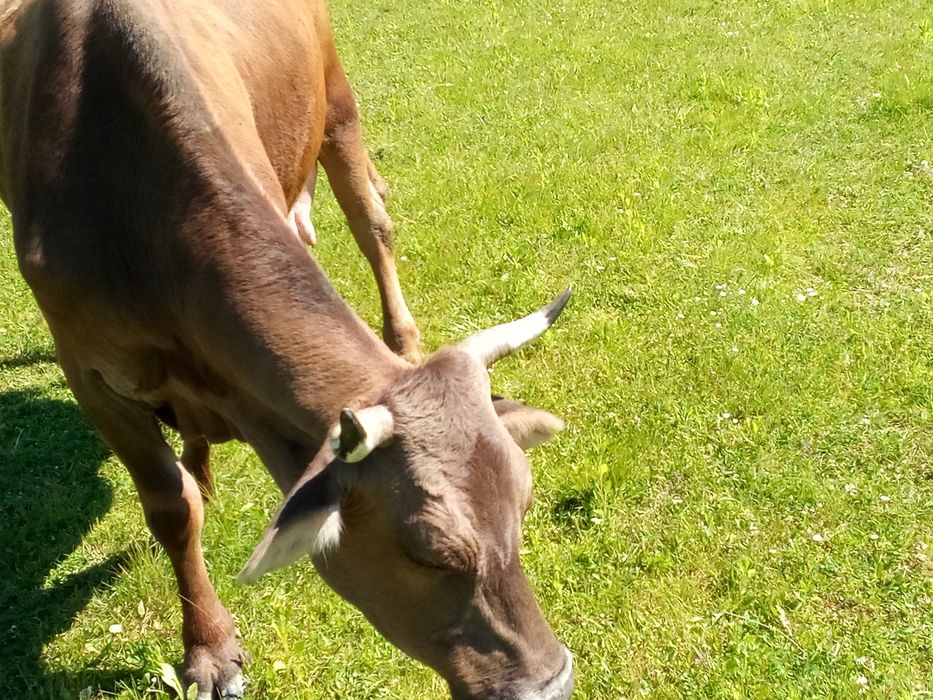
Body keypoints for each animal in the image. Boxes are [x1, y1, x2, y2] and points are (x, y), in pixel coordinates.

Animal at [0, 1, 575, 699]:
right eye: (428, 552)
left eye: (524, 502)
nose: (551, 683)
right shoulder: (88, 371)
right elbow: (171, 506)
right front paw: (209, 650)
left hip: (336, 103)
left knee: (371, 223)